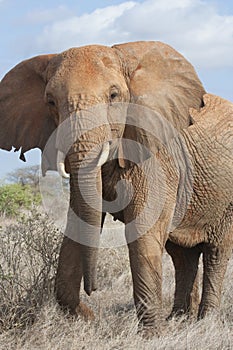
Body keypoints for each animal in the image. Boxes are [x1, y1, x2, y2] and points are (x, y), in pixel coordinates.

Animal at [0, 41, 208, 334]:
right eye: (50, 102)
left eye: (113, 95)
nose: (93, 291)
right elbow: (78, 222)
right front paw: (86, 318)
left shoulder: (156, 158)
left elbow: (143, 232)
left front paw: (152, 336)